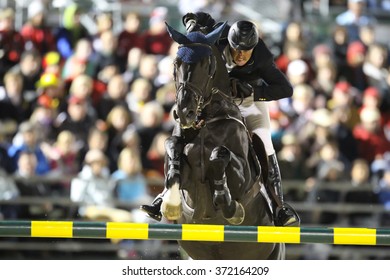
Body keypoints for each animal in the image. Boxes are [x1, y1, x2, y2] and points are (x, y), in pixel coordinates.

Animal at [160, 22, 284, 260]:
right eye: (176, 63)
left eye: (208, 66)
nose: (185, 112)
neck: (206, 119)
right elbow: (172, 146)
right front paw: (170, 201)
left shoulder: (243, 177)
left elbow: (220, 154)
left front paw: (228, 203)